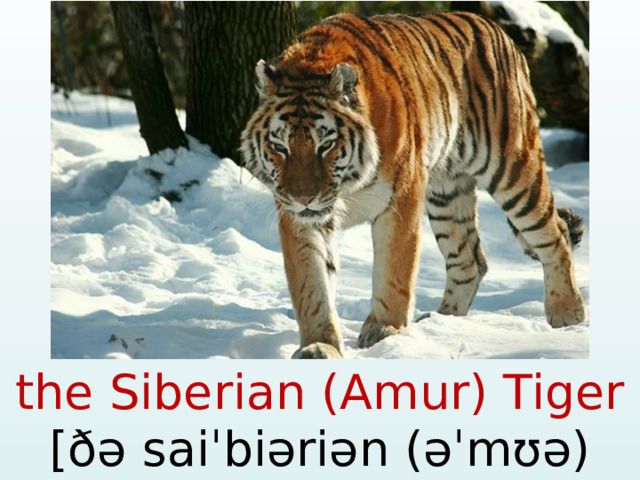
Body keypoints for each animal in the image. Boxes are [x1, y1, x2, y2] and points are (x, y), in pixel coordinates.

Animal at [240, 11, 586, 359]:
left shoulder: (402, 197)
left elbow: (395, 271)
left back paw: (567, 312)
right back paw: (442, 321)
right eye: (280, 147)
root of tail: (497, 30)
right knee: (470, 261)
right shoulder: (298, 218)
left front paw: (385, 330)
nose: (304, 198)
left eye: (325, 145)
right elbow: (311, 285)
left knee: (554, 232)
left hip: (513, 167)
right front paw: (318, 345)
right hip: (447, 194)